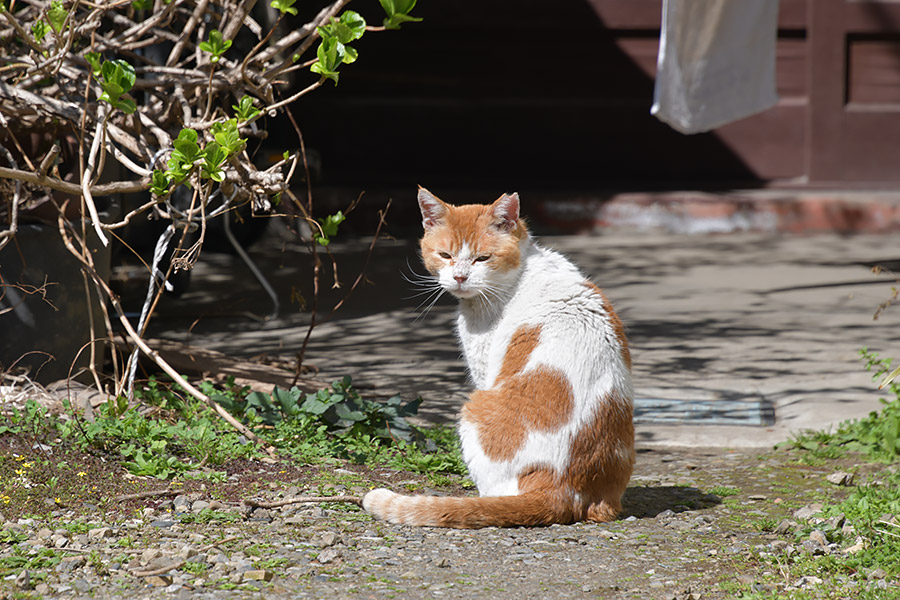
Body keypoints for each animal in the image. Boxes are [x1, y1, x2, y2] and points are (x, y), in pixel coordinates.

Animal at [362, 190, 636, 528]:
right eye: (445, 255)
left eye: (482, 258)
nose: (460, 277)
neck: (521, 273)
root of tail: (564, 489)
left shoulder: (483, 370)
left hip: (473, 409)